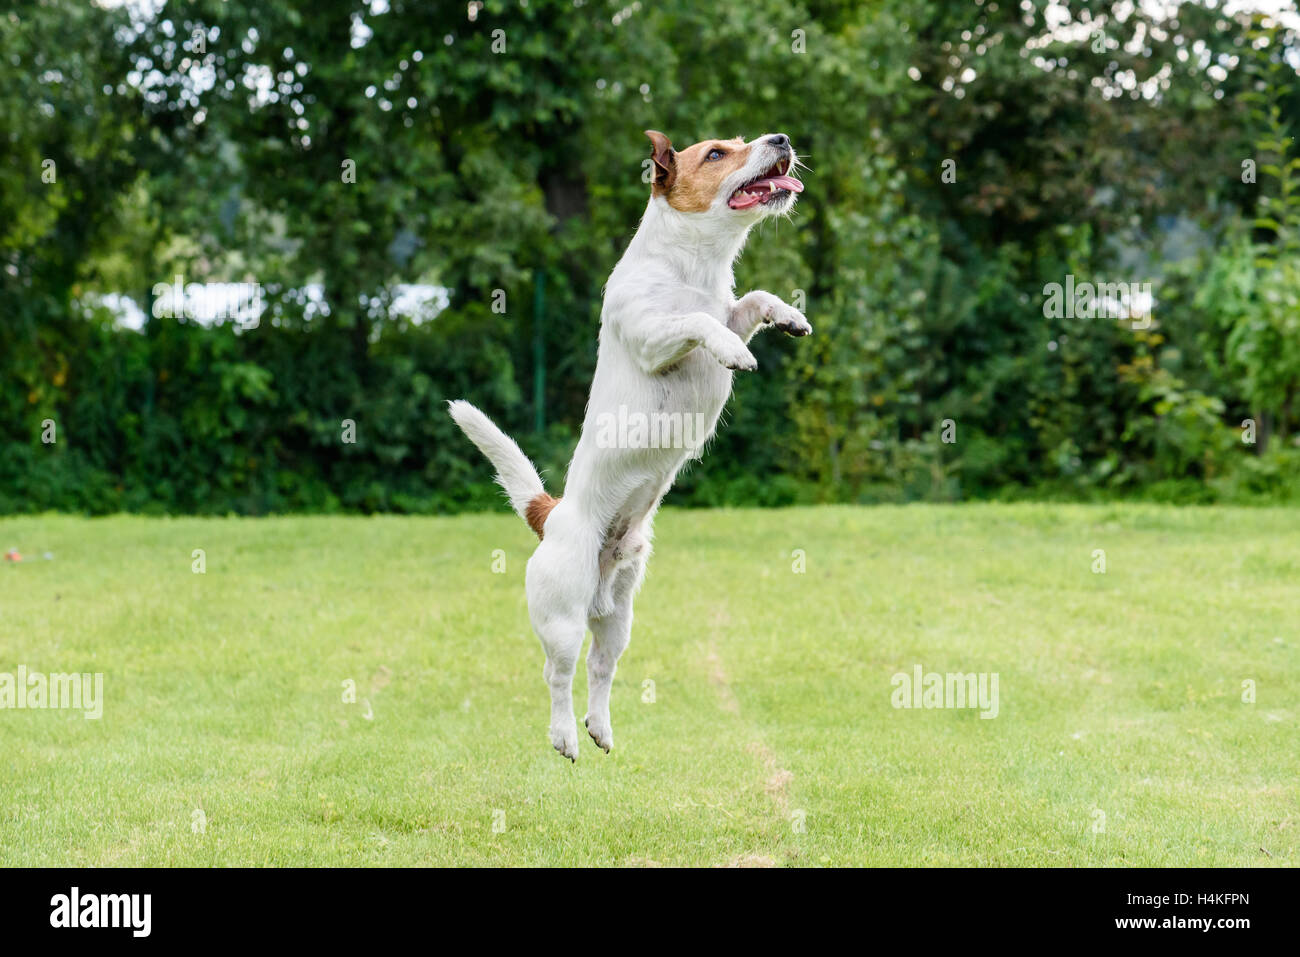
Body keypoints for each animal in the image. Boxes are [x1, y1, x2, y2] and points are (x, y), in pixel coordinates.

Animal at [452, 130, 806, 759]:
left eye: (745, 141)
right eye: (717, 153)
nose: (781, 137)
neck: (693, 270)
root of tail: (551, 515)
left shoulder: (732, 310)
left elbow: (752, 302)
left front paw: (788, 315)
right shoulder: (653, 337)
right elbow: (699, 324)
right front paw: (734, 353)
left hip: (619, 615)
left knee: (601, 668)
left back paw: (600, 727)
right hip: (563, 617)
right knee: (557, 674)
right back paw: (565, 736)